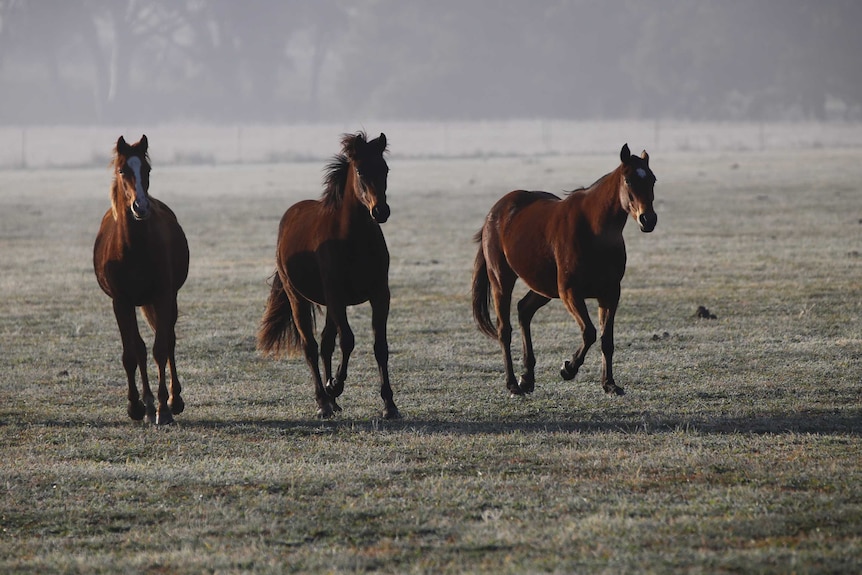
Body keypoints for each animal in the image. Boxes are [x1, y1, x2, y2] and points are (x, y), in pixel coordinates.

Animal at [94, 134, 189, 424]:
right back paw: (146, 404)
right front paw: (136, 405)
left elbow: (161, 348)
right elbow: (132, 352)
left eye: (147, 170)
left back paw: (173, 400)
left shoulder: (163, 296)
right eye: (122, 170)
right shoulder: (121, 302)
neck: (132, 248)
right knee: (141, 347)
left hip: (169, 299)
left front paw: (164, 408)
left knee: (168, 340)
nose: (141, 206)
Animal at [260, 132, 402, 418]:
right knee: (311, 347)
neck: (353, 238)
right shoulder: (336, 294)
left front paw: (389, 405)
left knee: (325, 343)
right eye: (360, 170)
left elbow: (380, 346)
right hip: (298, 298)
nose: (381, 211)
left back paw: (332, 401)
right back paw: (323, 401)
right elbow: (347, 340)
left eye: (385, 169)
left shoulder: (380, 294)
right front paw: (335, 384)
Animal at [476, 143, 660, 400]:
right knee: (504, 329)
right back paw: (513, 384)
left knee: (524, 310)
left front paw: (610, 384)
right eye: (628, 180)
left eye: (652, 179)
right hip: (502, 280)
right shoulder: (570, 292)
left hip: (543, 287)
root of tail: (495, 212)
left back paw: (527, 378)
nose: (648, 219)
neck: (594, 230)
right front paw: (568, 369)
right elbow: (589, 332)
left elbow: (606, 339)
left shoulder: (610, 293)